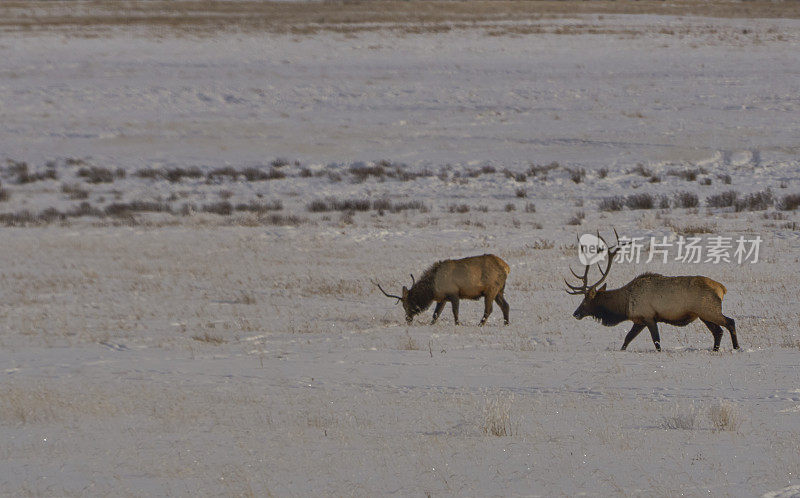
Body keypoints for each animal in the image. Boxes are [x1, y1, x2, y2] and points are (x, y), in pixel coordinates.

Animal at [374, 253, 510, 326]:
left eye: (407, 304)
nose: (408, 319)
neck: (432, 289)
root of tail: (506, 267)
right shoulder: (442, 298)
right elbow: (436, 314)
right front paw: (431, 324)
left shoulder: (454, 293)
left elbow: (455, 312)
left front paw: (457, 324)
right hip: (499, 291)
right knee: (505, 306)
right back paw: (506, 323)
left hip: (491, 290)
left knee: (489, 309)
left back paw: (480, 324)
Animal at [564, 231, 740, 352]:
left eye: (586, 301)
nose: (575, 313)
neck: (624, 305)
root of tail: (722, 288)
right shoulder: (639, 320)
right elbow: (627, 339)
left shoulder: (649, 316)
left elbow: (656, 342)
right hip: (703, 314)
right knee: (718, 332)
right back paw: (716, 350)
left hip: (708, 310)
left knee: (729, 322)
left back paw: (737, 347)